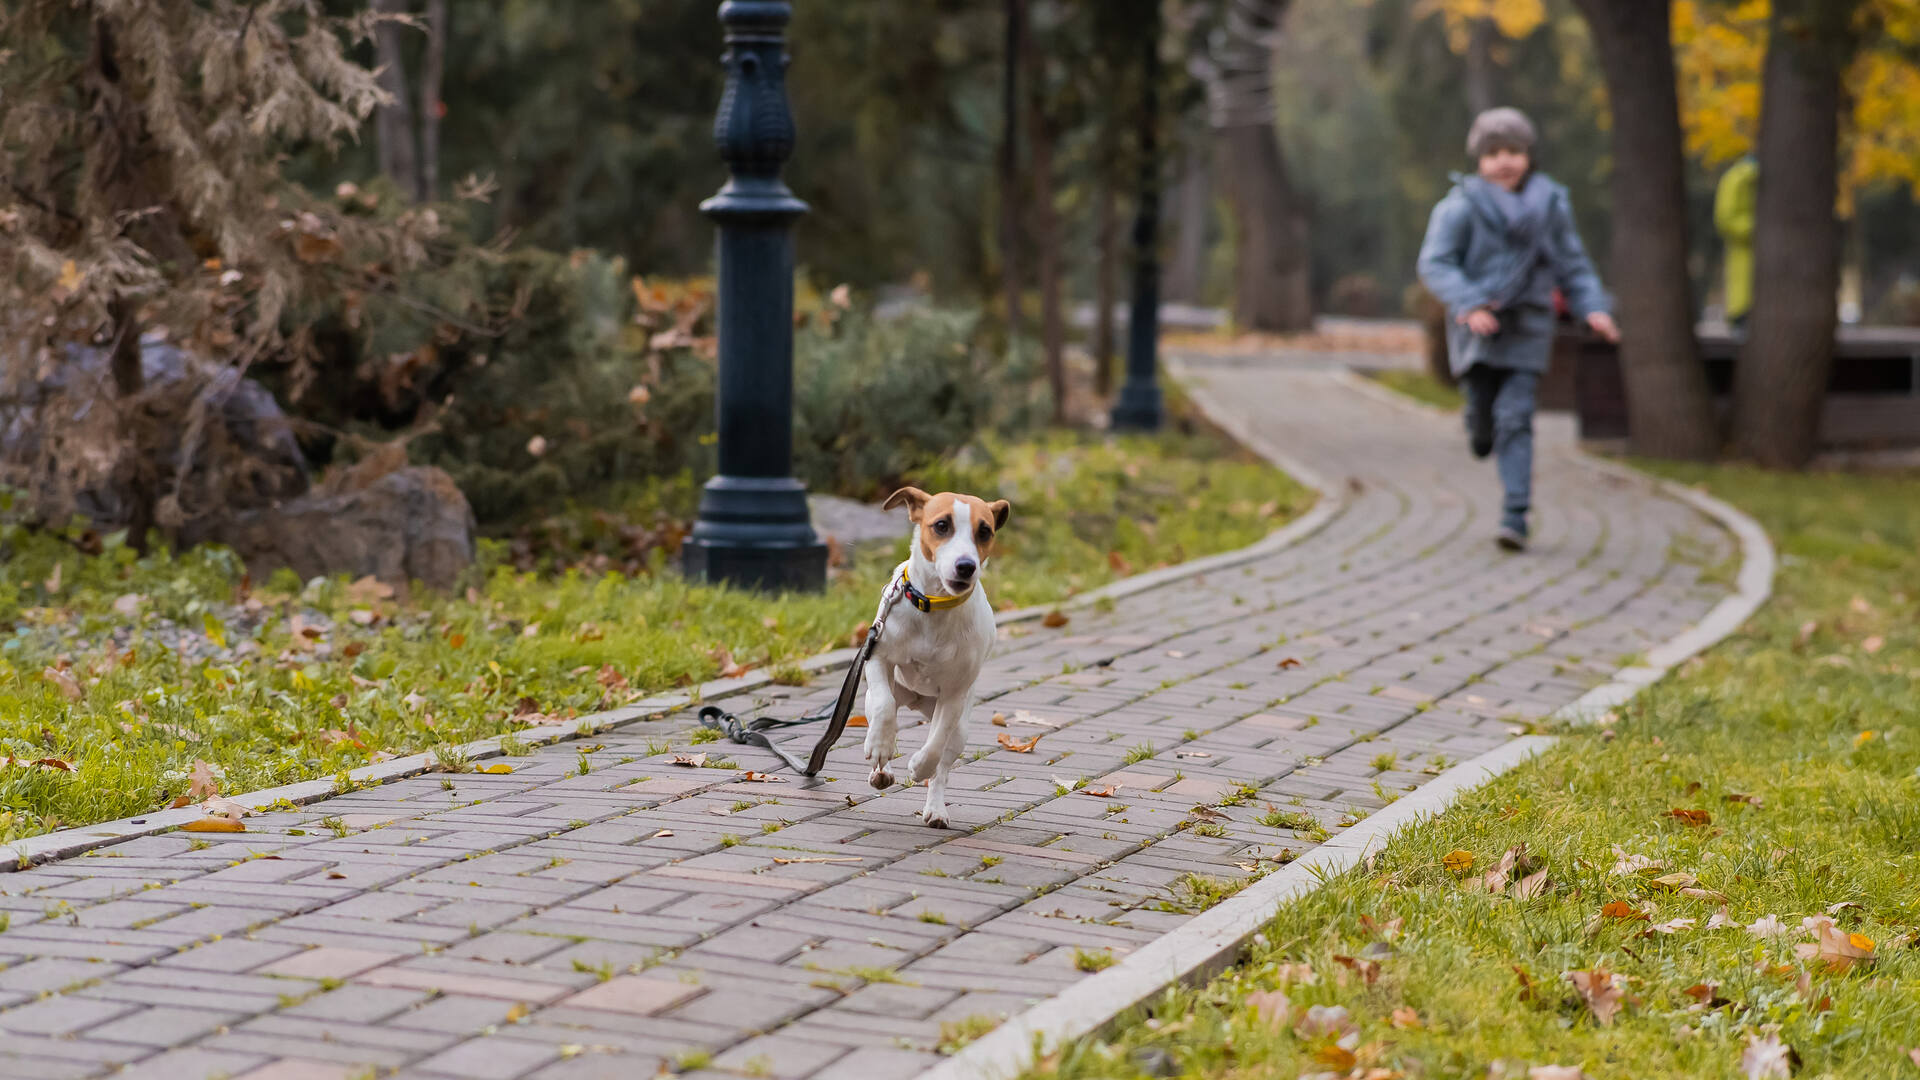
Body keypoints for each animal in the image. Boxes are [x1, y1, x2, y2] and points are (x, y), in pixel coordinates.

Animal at [867, 486, 1013, 822]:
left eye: (984, 531)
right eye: (942, 525)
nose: (966, 566)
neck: (934, 604)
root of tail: (917, 700)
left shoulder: (954, 693)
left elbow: (935, 745)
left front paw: (920, 766)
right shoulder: (878, 655)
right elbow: (884, 706)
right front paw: (880, 748)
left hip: (961, 727)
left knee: (943, 763)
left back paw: (935, 809)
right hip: (876, 697)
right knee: (884, 711)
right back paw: (881, 767)